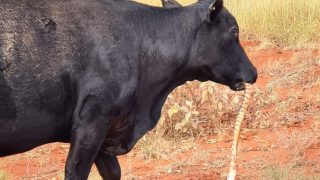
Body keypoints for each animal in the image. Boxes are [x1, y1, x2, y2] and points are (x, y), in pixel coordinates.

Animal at [0, 0, 256, 179]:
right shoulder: (92, 122)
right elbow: (75, 171)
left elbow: (113, 172)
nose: (254, 72)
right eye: (234, 31)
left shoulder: (106, 132)